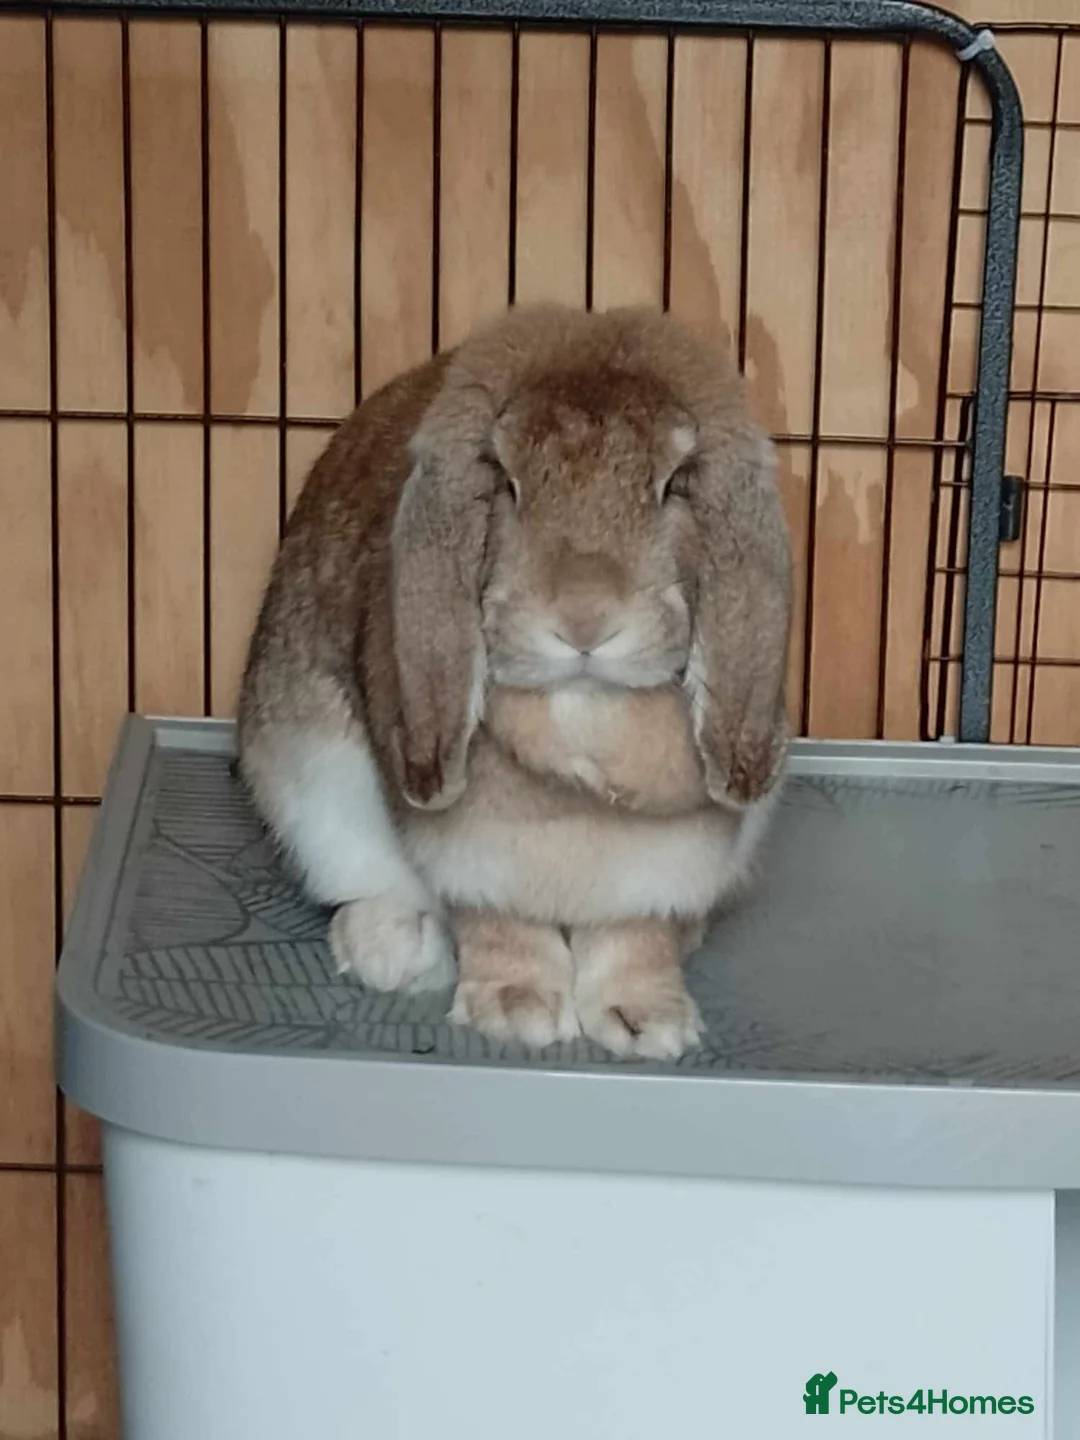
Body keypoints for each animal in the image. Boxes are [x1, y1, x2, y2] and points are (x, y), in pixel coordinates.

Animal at [238, 304, 792, 1060]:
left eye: (674, 484)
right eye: (505, 481)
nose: (584, 620)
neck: (587, 710)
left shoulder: (660, 871)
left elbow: (634, 939)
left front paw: (647, 1022)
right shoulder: (476, 857)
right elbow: (501, 927)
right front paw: (516, 1009)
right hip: (308, 787)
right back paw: (391, 949)